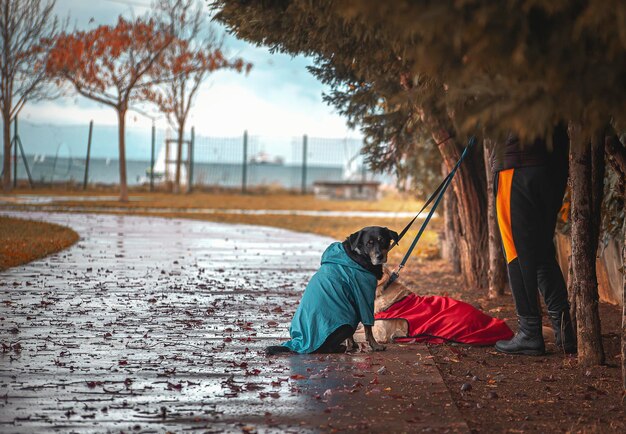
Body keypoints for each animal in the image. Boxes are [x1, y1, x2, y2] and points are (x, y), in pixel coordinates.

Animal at [266, 225, 398, 354]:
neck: (358, 256)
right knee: (325, 348)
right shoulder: (364, 297)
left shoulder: (353, 304)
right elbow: (368, 328)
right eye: (369, 243)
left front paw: (353, 345)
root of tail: (297, 345)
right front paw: (375, 346)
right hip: (345, 325)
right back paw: (340, 348)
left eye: (383, 241)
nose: (380, 256)